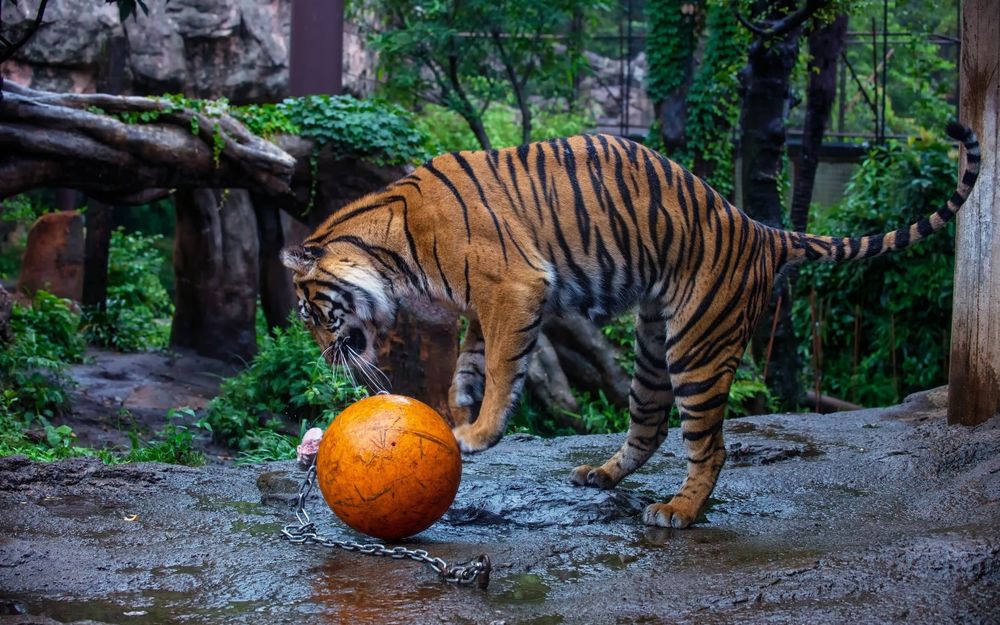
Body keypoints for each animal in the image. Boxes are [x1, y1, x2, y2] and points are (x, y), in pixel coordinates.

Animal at [281, 122, 980, 529]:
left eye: (313, 314)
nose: (325, 357)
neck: (390, 249)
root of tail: (760, 229)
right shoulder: (486, 301)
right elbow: (471, 361)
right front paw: (458, 409)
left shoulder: (513, 285)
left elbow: (505, 364)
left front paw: (477, 433)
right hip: (652, 344)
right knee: (648, 424)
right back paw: (601, 476)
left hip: (697, 347)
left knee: (710, 445)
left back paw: (678, 511)